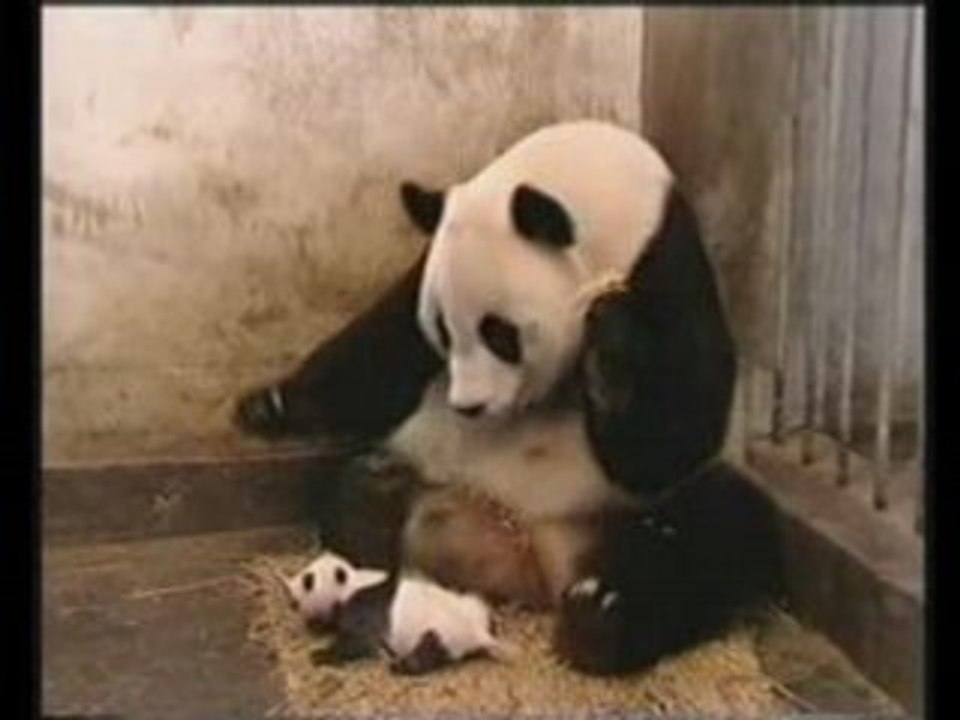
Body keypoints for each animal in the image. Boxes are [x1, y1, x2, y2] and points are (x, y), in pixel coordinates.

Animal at [236, 120, 781, 675]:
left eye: (500, 334)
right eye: (442, 329)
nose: (468, 407)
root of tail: (529, 560)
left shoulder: (667, 270)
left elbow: (676, 430)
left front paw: (609, 348)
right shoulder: (429, 266)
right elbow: (383, 344)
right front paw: (269, 406)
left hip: (620, 513)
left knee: (718, 533)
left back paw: (598, 616)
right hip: (423, 469)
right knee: (359, 484)